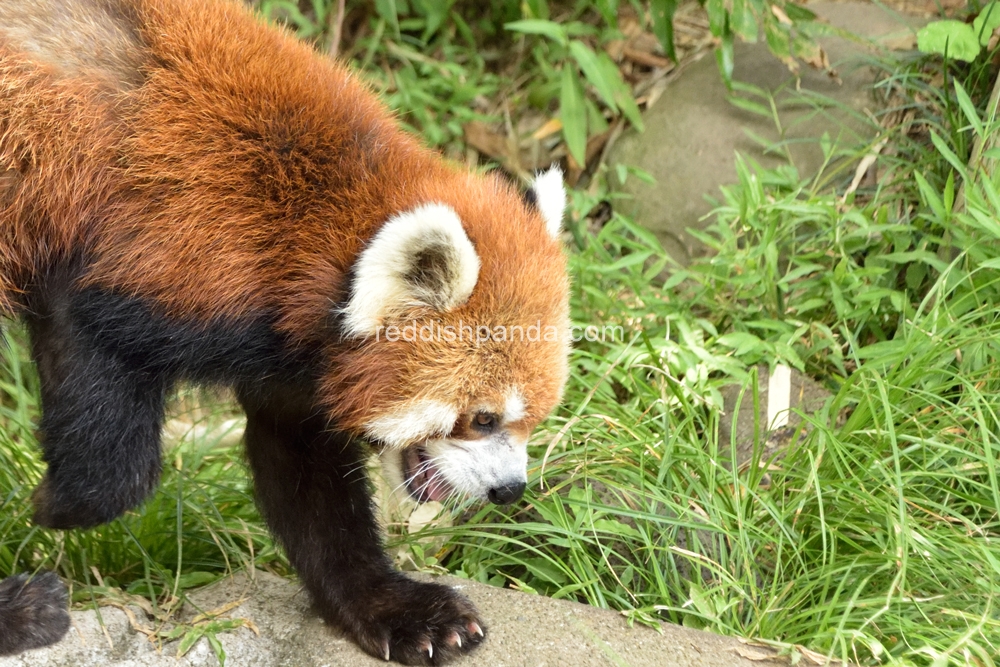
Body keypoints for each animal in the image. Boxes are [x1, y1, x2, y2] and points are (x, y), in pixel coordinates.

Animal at [0, 0, 572, 664]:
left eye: (535, 417)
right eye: (482, 418)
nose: (510, 490)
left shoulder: (293, 358)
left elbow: (306, 479)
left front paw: (396, 608)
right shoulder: (140, 258)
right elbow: (103, 424)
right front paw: (54, 505)